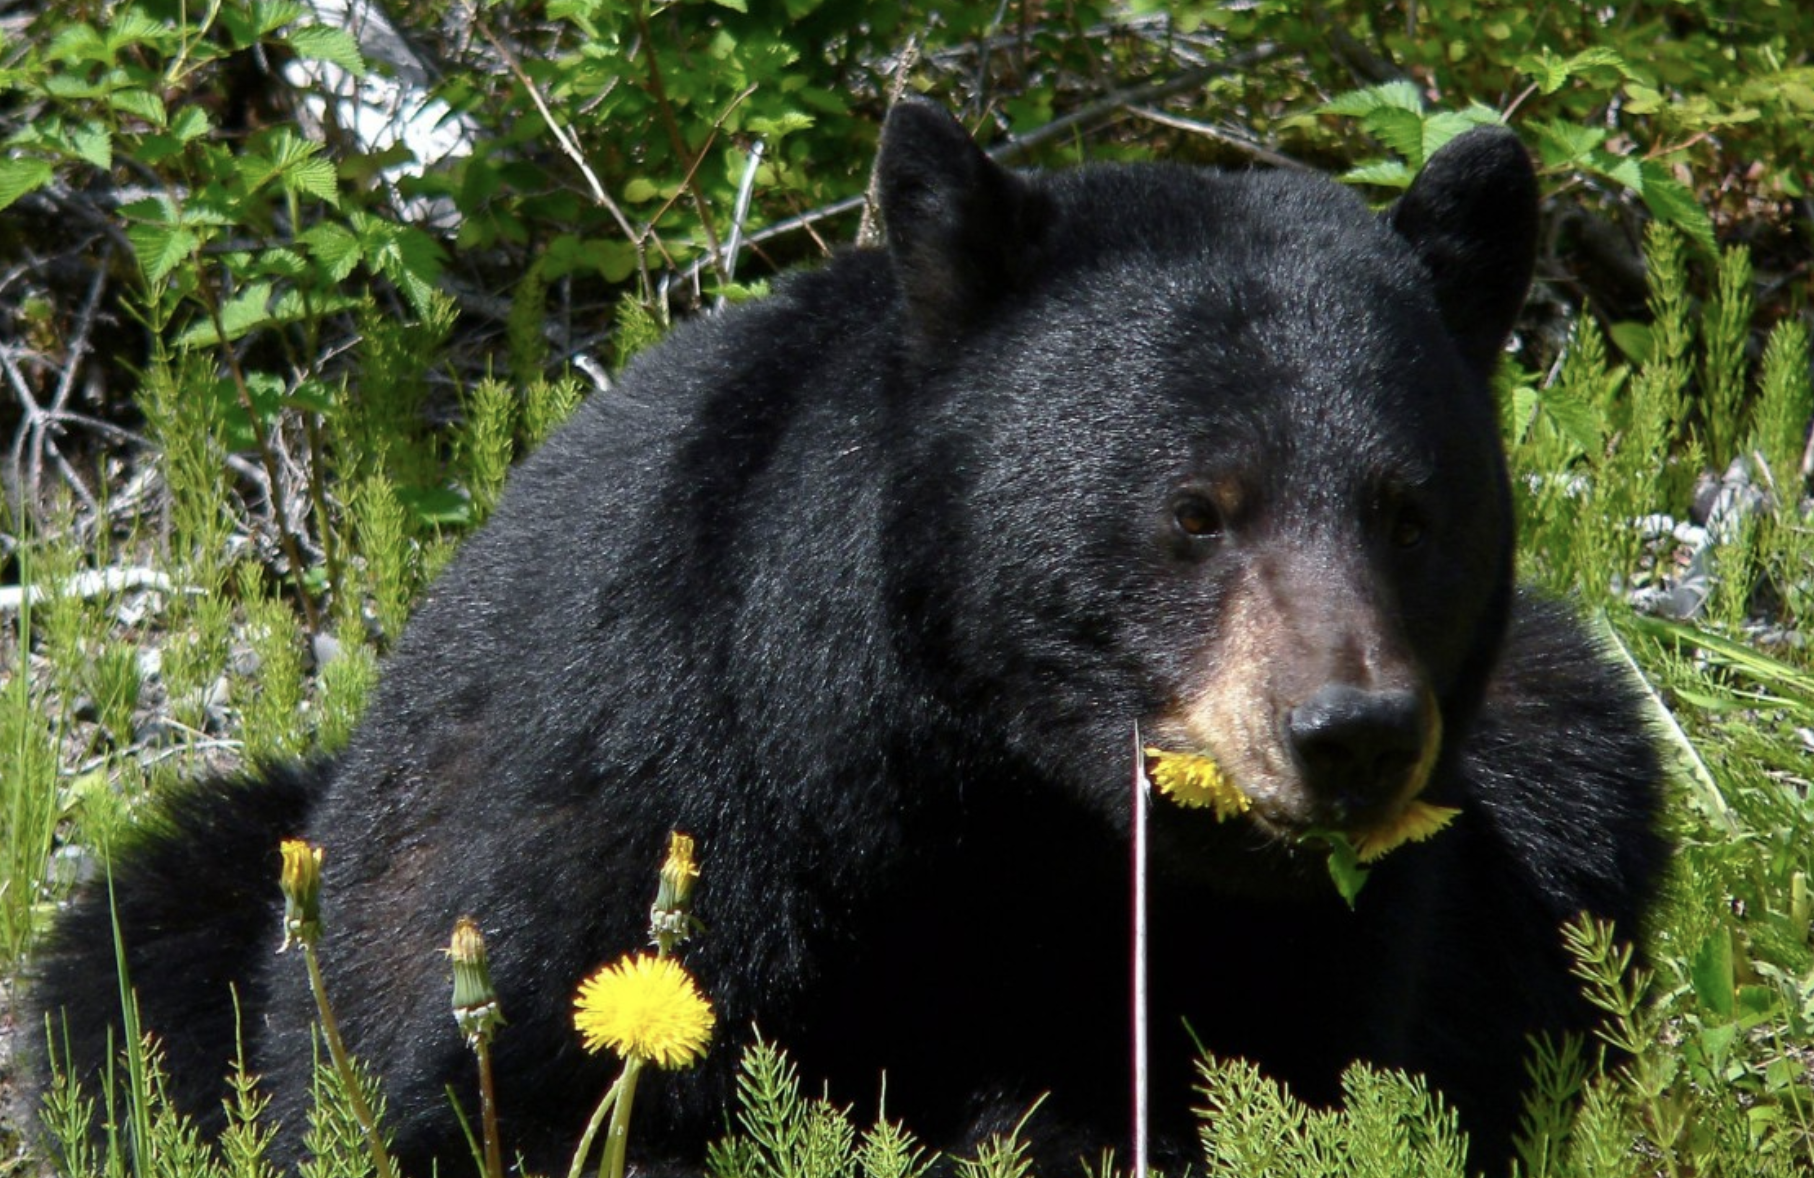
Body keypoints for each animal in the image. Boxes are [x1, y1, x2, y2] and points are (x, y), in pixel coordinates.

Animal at [33, 99, 1666, 1176]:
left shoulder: (1310, 933)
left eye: (1409, 510)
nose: (1348, 735)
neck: (985, 789)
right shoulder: (638, 774)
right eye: (1195, 508)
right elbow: (499, 1079)